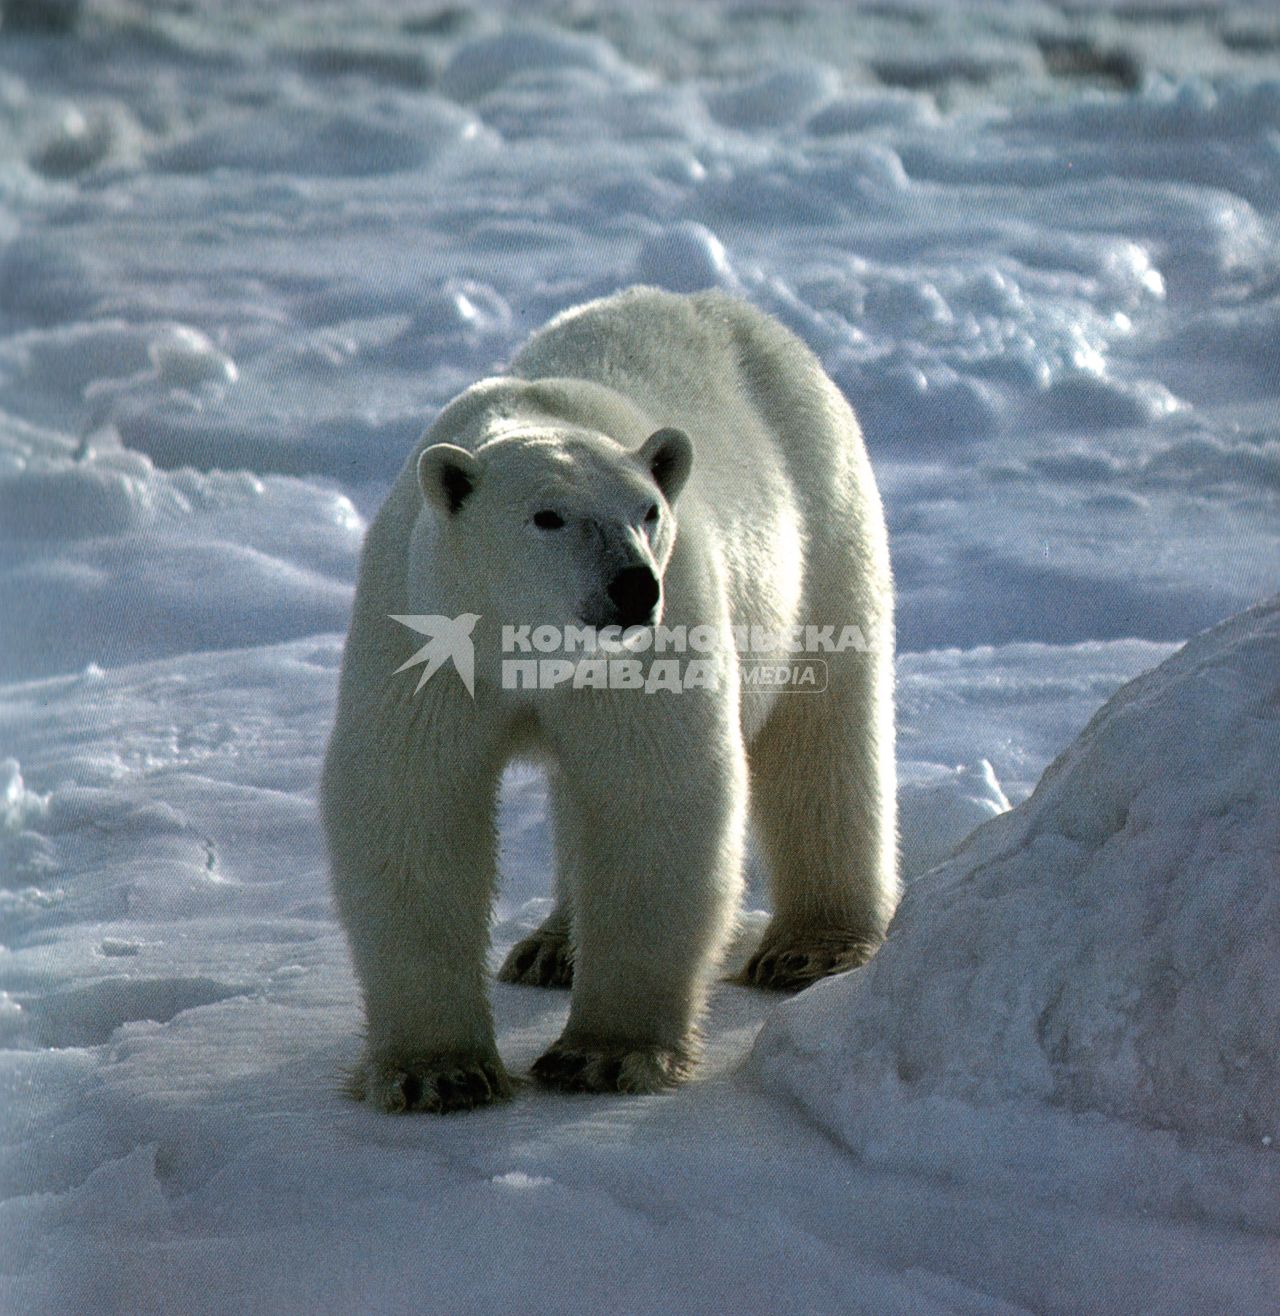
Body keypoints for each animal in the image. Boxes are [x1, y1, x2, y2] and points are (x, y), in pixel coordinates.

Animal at [322, 285, 899, 1110]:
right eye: (548, 516)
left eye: (647, 511)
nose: (633, 586)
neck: (524, 648)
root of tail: (723, 304)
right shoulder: (424, 633)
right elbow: (413, 799)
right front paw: (438, 1072)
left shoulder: (648, 652)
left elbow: (649, 794)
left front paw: (603, 1055)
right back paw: (552, 947)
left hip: (825, 516)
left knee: (822, 732)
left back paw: (812, 946)